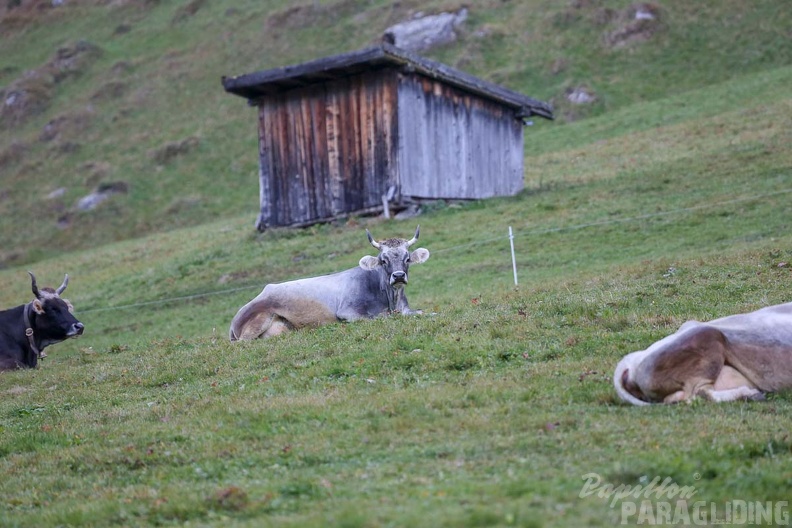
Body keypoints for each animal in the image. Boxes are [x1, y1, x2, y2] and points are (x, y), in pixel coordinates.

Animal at [227, 225, 426, 340]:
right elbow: (380, 317)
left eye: (407, 259)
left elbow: (420, 312)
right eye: (383, 260)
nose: (398, 276)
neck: (391, 299)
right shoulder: (348, 311)